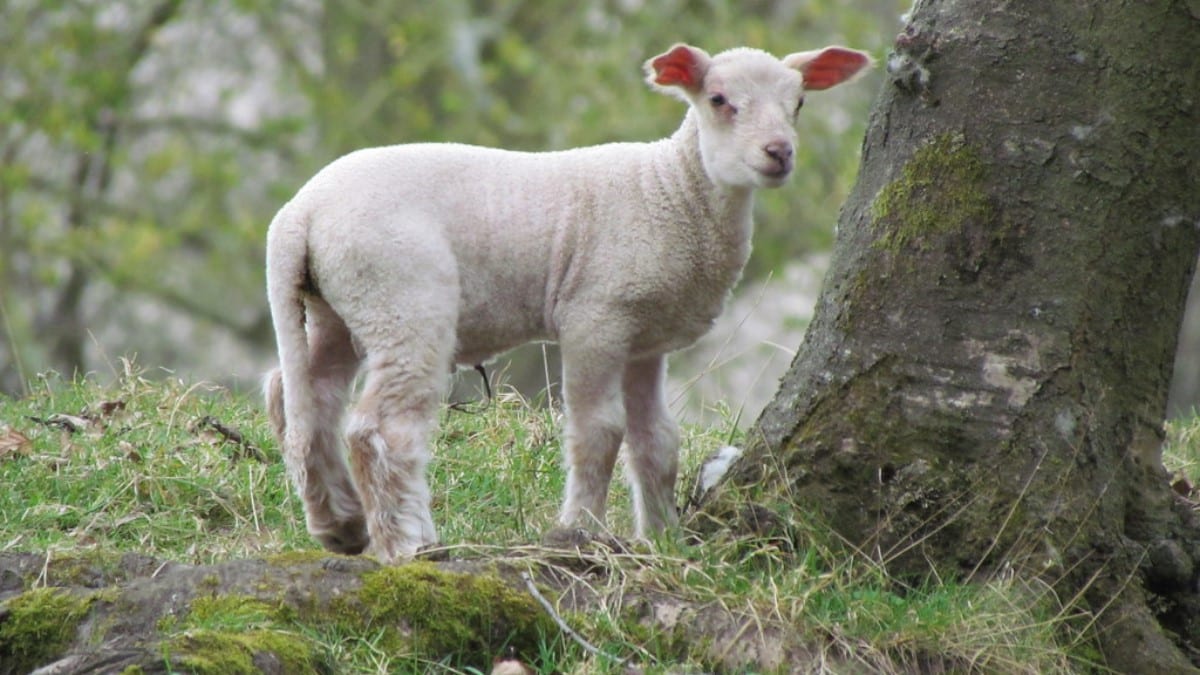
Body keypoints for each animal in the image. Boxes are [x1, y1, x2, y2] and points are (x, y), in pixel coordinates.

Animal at [263, 43, 872, 562]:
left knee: (302, 398)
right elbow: (598, 430)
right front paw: (580, 532)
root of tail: (300, 212)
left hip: (340, 305)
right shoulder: (596, 317)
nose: (779, 153)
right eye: (720, 100)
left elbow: (657, 441)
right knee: (379, 429)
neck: (672, 190)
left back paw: (341, 525)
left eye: (798, 103)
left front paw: (663, 541)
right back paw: (409, 544)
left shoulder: (645, 339)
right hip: (402, 296)